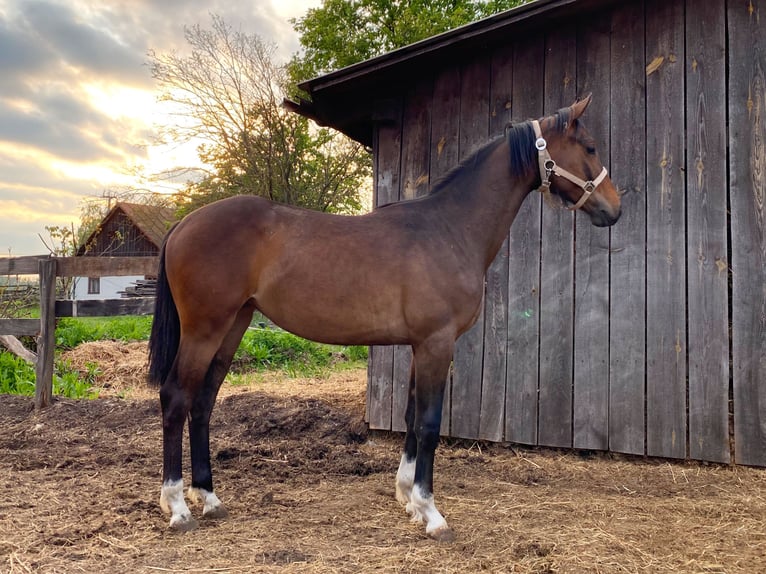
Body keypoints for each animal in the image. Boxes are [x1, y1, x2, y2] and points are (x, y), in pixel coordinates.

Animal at [148, 94, 621, 541]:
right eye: (590, 147)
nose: (614, 209)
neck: (449, 229)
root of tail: (184, 223)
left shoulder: (420, 345)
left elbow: (411, 417)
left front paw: (408, 499)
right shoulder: (437, 343)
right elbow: (429, 424)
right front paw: (432, 514)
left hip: (234, 325)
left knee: (203, 403)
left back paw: (209, 498)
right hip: (205, 329)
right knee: (176, 398)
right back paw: (178, 507)